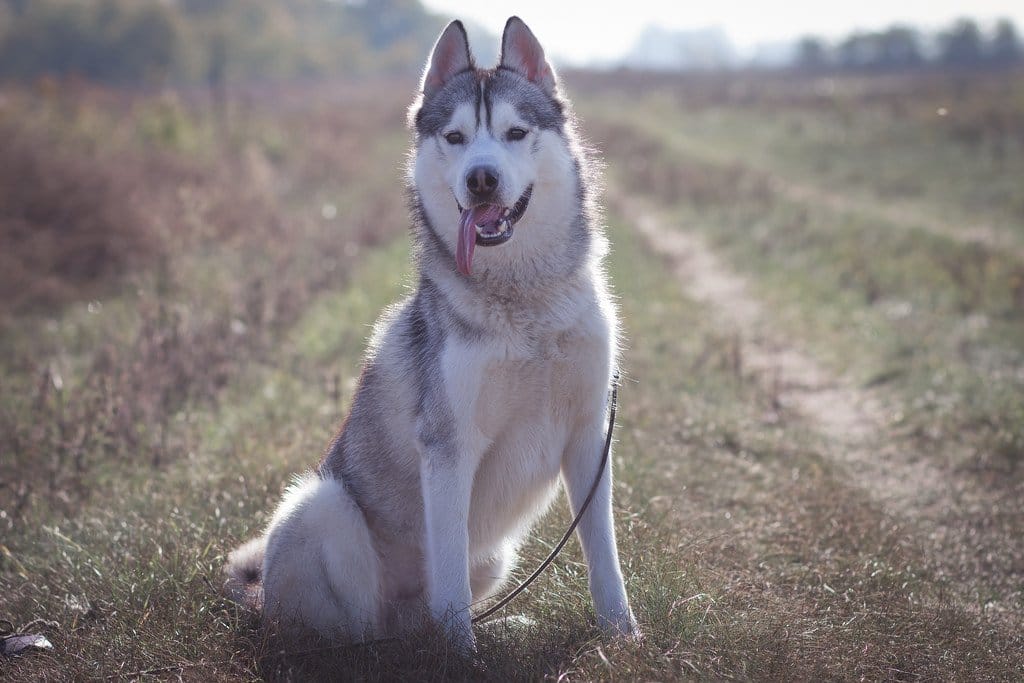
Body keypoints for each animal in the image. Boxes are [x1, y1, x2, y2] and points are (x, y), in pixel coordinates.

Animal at [225, 16, 637, 651]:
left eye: (515, 133)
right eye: (455, 137)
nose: (482, 179)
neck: (525, 303)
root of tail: (258, 593)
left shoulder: (591, 434)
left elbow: (603, 556)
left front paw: (621, 634)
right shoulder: (449, 447)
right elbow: (448, 574)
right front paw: (462, 655)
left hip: (496, 554)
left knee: (422, 614)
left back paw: (487, 626)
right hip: (321, 505)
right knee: (359, 626)